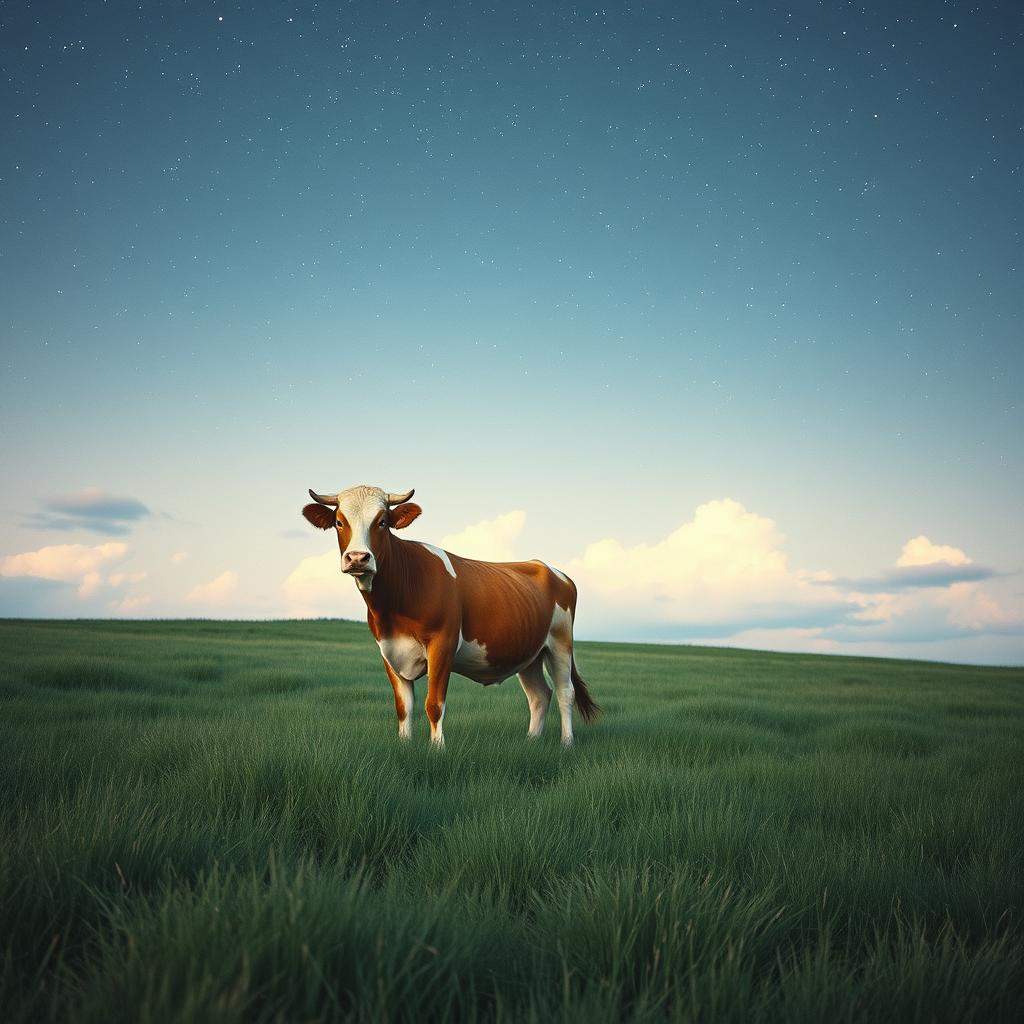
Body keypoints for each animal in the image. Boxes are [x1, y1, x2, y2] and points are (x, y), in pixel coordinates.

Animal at [301, 484, 599, 746]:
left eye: (382, 521)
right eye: (339, 522)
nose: (357, 558)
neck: (393, 604)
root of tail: (549, 568)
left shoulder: (442, 644)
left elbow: (434, 704)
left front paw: (437, 750)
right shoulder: (388, 650)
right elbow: (403, 707)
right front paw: (405, 746)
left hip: (560, 643)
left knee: (565, 693)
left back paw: (567, 744)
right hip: (529, 653)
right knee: (539, 696)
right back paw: (531, 742)